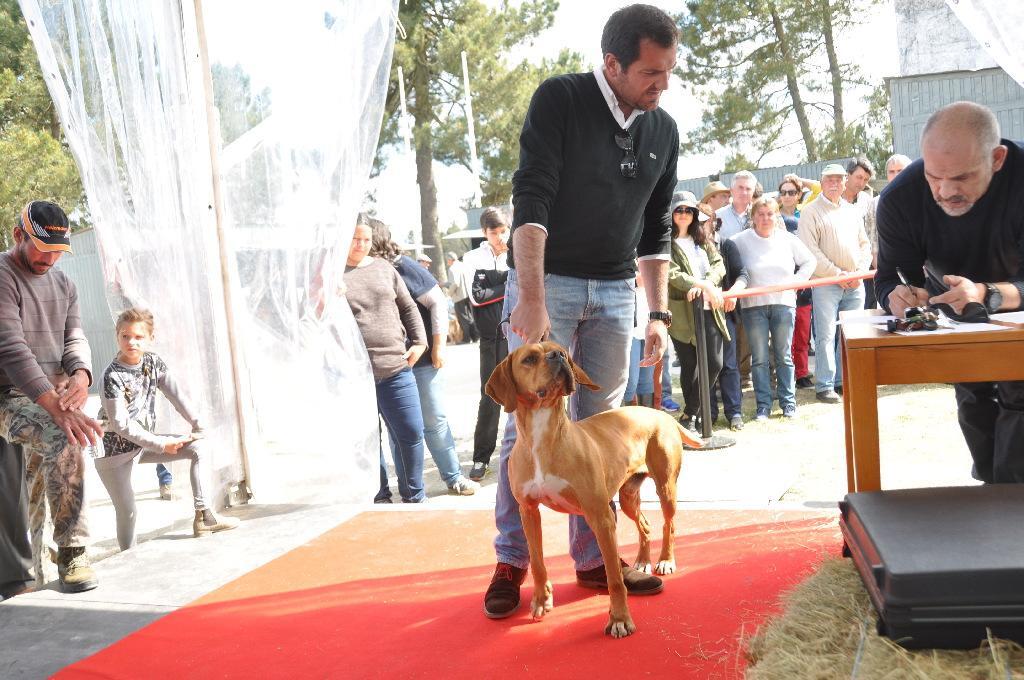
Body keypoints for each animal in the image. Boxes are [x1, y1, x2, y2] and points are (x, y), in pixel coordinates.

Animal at [485, 341, 701, 638]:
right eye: (528, 359)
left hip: (665, 487)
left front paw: (620, 618)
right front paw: (541, 599)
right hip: (628, 497)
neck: (544, 437)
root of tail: (658, 413)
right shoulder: (528, 512)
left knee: (669, 524)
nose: (559, 356)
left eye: (562, 351)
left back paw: (665, 560)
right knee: (645, 525)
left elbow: (613, 577)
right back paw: (643, 561)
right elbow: (537, 563)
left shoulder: (601, 517)